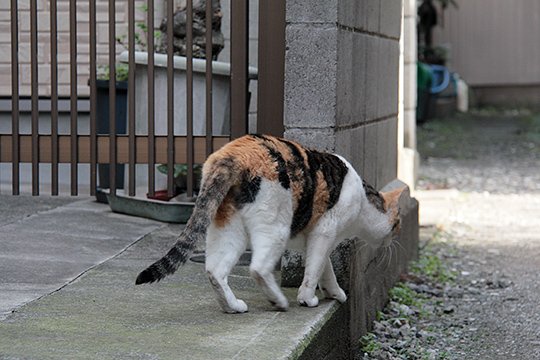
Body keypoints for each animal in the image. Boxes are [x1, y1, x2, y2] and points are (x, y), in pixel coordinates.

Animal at [136, 134, 400, 314]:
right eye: (397, 223)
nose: (394, 238)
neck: (363, 201)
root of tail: (231, 154)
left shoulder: (313, 238)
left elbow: (325, 268)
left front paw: (334, 293)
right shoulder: (324, 232)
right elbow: (315, 269)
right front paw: (307, 298)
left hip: (229, 229)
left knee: (215, 270)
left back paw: (232, 306)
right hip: (275, 227)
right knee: (258, 268)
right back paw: (278, 301)